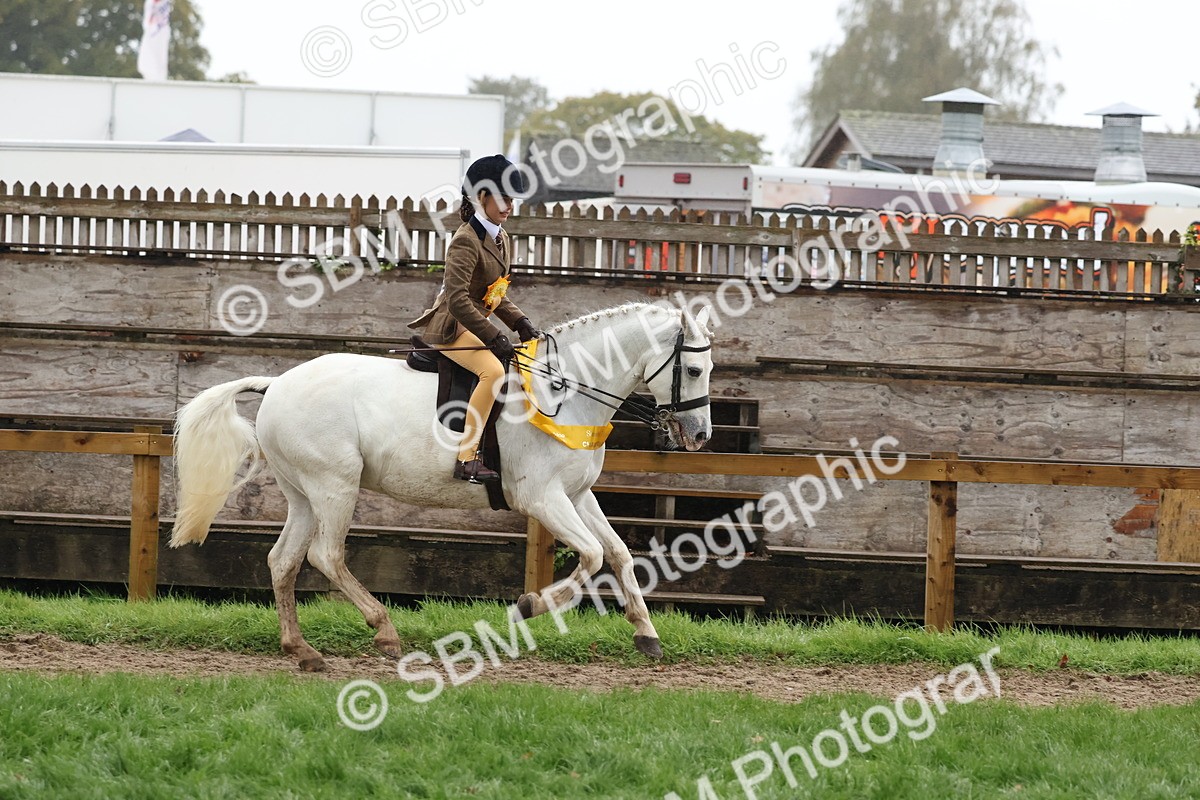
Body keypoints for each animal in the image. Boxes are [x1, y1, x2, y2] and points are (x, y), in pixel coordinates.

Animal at [168, 302, 715, 671]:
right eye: (693, 368)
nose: (700, 436)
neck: (564, 390)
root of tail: (277, 383)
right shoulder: (543, 497)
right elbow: (593, 556)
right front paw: (529, 606)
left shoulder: (578, 495)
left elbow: (618, 554)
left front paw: (646, 634)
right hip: (334, 486)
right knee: (326, 555)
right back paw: (384, 632)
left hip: (303, 493)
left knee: (284, 561)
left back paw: (302, 651)